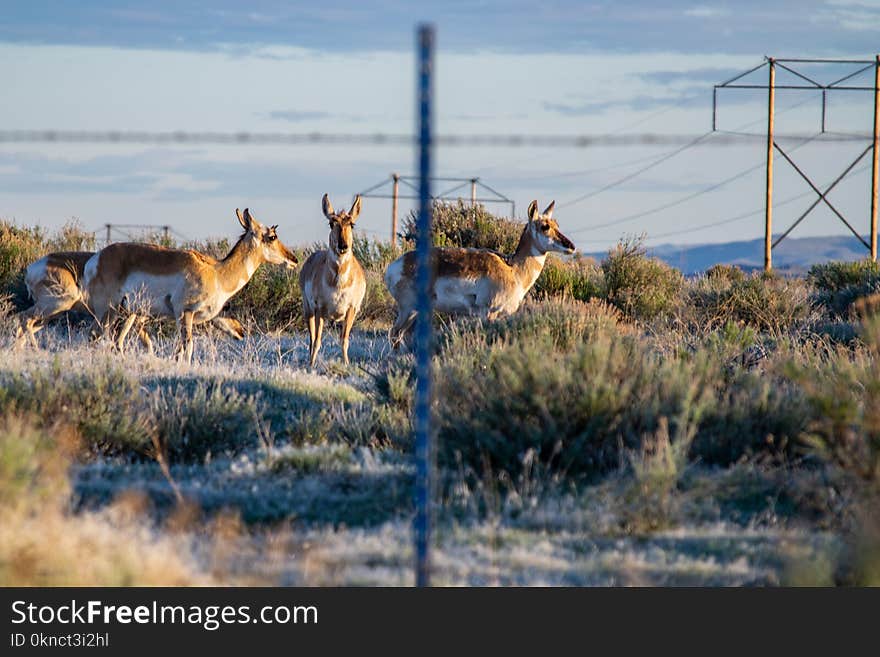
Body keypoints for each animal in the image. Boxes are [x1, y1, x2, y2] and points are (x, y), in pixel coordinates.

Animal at [12, 250, 248, 348]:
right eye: (229, 309)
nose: (242, 333)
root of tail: (34, 266)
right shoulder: (137, 318)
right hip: (56, 305)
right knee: (24, 320)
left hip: (50, 314)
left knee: (25, 323)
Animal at [86, 208, 300, 362]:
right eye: (272, 236)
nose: (294, 259)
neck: (217, 273)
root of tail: (96, 259)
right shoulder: (185, 314)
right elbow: (188, 349)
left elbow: (180, 351)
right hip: (108, 311)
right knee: (94, 336)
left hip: (127, 314)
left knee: (117, 341)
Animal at [300, 195, 366, 368]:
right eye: (331, 223)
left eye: (352, 224)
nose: (343, 245)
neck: (338, 284)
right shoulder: (319, 309)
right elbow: (317, 340)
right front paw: (311, 365)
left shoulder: (351, 309)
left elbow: (344, 340)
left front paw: (347, 364)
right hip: (308, 310)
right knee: (311, 339)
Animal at [384, 199, 576, 346]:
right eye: (544, 226)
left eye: (556, 224)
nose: (571, 246)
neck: (513, 269)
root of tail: (396, 265)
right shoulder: (489, 313)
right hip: (408, 308)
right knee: (394, 333)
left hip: (413, 312)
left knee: (398, 335)